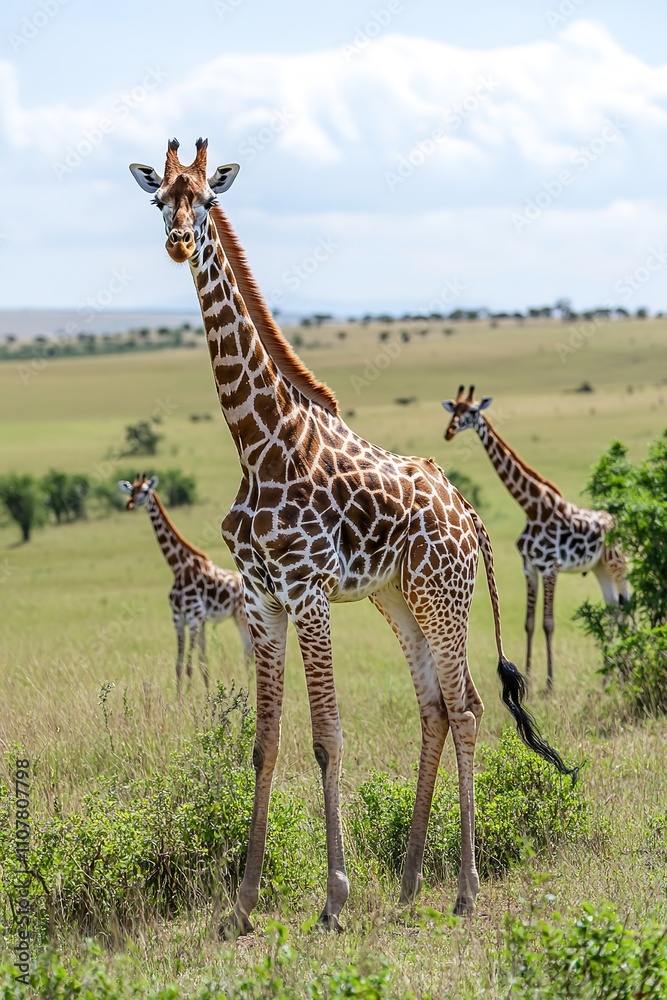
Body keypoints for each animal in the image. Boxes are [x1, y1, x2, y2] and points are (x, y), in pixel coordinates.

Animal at [118, 474, 253, 699]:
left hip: (241, 616)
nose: (130, 504)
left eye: (144, 491)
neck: (178, 567)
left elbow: (190, 666)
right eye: (131, 490)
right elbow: (185, 665)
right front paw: (184, 700)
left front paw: (190, 700)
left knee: (249, 653)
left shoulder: (193, 618)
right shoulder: (179, 619)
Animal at [441, 386, 629, 691]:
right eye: (454, 409)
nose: (449, 431)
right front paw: (528, 677)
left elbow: (548, 623)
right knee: (613, 608)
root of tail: (616, 520)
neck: (531, 506)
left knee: (625, 605)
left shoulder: (550, 566)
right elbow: (529, 623)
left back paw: (622, 672)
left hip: (617, 564)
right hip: (599, 568)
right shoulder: (529, 566)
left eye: (472, 410)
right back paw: (610, 675)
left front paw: (550, 683)